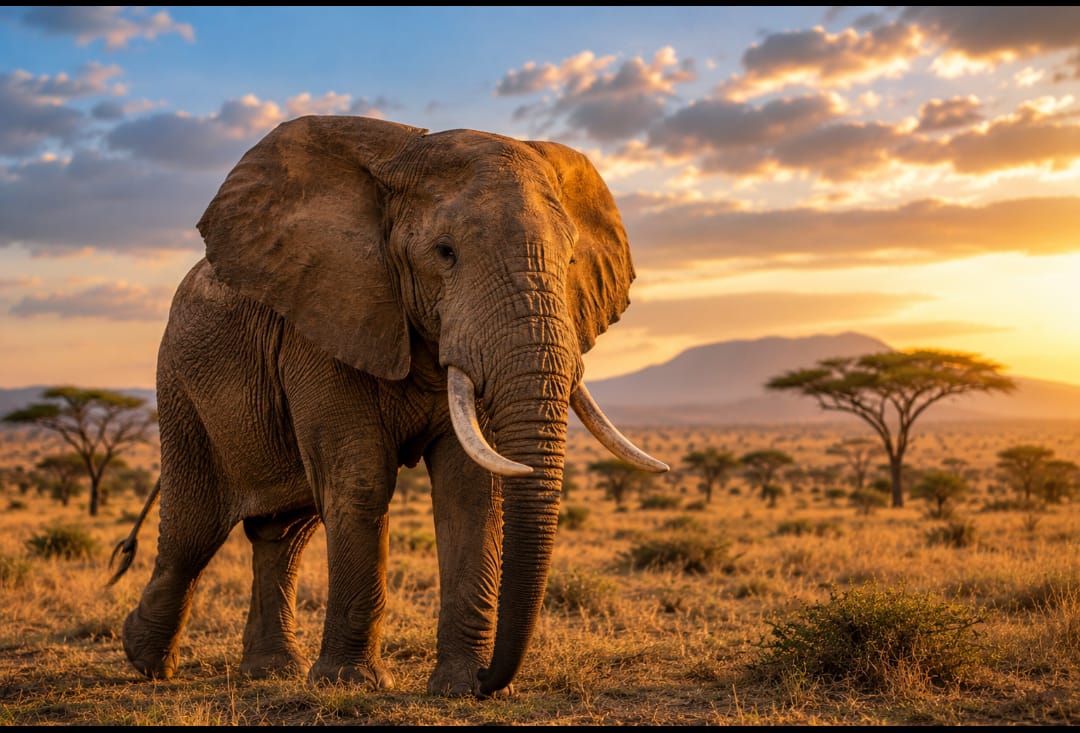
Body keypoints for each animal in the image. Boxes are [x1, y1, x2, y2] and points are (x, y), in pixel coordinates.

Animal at [108, 114, 667, 698]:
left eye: (571, 258)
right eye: (445, 252)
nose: (491, 681)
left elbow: (473, 489)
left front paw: (457, 686)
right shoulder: (325, 315)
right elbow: (361, 479)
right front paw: (349, 683)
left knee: (283, 534)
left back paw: (271, 672)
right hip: (179, 384)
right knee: (193, 530)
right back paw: (145, 659)